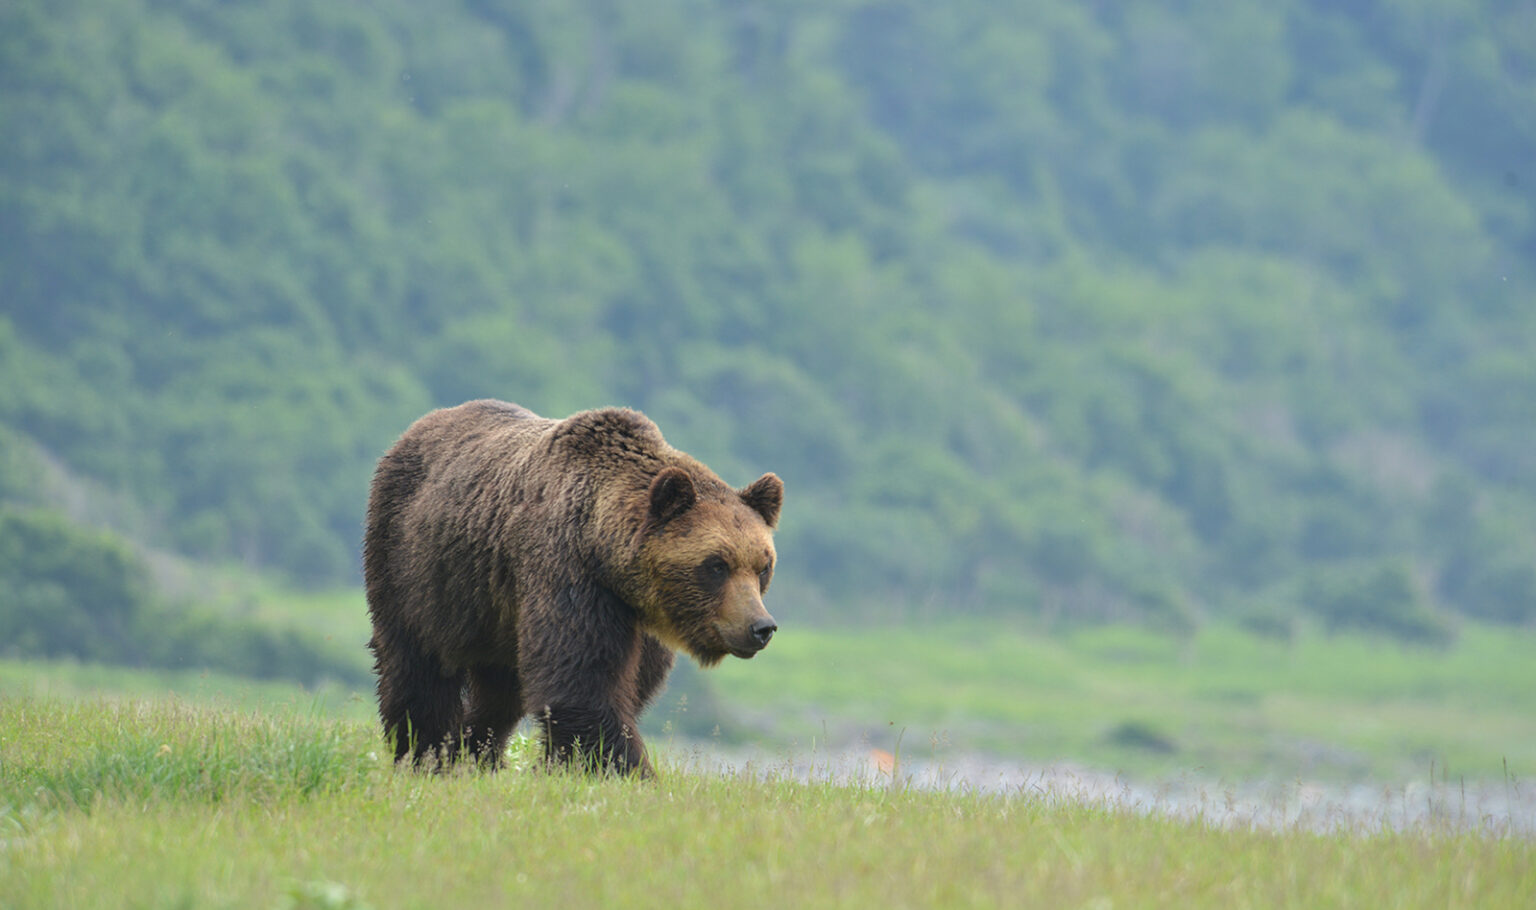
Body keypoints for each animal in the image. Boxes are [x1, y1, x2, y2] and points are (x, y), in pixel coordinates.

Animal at [360, 399, 780, 774]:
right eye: (716, 564)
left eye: (763, 567)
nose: (761, 627)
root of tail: (415, 429)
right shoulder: (568, 573)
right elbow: (583, 683)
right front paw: (626, 771)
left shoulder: (638, 620)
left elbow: (627, 686)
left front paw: (556, 763)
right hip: (416, 566)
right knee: (416, 665)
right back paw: (426, 753)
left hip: (495, 611)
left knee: (500, 692)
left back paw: (474, 752)